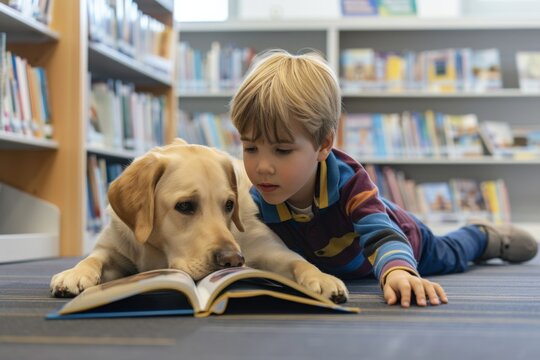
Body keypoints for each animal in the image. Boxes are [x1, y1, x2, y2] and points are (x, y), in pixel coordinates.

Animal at [49, 139, 346, 302]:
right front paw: (74, 273)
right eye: (185, 206)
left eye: (229, 205)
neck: (158, 252)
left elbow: (299, 262)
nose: (233, 260)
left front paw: (322, 278)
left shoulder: (272, 251)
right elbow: (93, 258)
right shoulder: (113, 249)